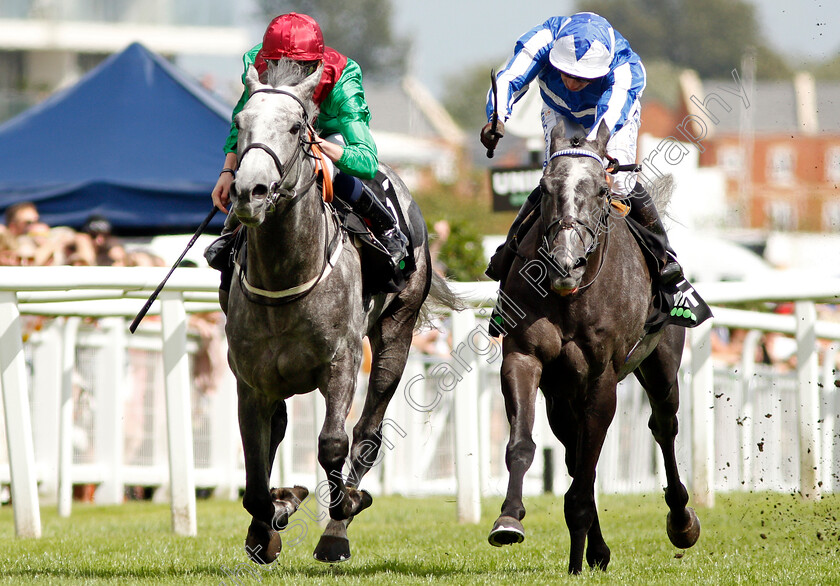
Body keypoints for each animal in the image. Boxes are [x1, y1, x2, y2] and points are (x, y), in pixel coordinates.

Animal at [225, 59, 460, 560]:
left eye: (296, 128)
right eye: (241, 123)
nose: (250, 191)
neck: (285, 274)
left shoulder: (343, 361)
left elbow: (334, 443)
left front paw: (346, 503)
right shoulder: (251, 379)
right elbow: (255, 472)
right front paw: (272, 518)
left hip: (396, 333)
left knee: (368, 434)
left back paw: (337, 530)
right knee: (277, 432)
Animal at [488, 118, 700, 572]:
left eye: (602, 189)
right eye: (543, 187)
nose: (565, 264)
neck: (572, 295)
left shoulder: (601, 380)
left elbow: (586, 474)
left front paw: (578, 551)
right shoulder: (524, 359)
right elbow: (524, 444)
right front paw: (509, 518)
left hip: (661, 366)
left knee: (664, 427)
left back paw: (681, 520)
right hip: (561, 395)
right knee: (573, 453)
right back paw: (595, 548)